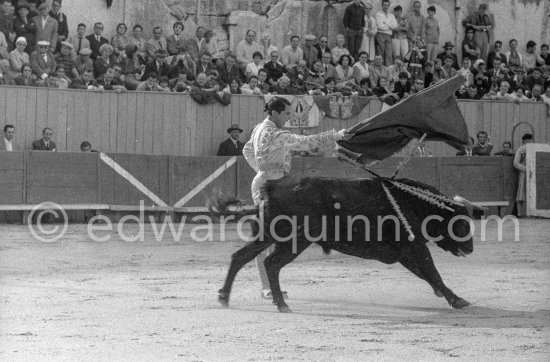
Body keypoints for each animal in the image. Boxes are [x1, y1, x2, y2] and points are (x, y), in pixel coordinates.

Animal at [209, 177, 476, 312]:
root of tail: (270, 188)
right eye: (461, 223)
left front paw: (444, 294)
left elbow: (426, 274)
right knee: (271, 263)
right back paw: (281, 304)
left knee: (243, 257)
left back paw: (225, 297)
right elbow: (433, 271)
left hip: (271, 236)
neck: (415, 202)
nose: (470, 248)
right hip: (295, 240)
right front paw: (457, 299)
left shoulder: (405, 253)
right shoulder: (415, 247)